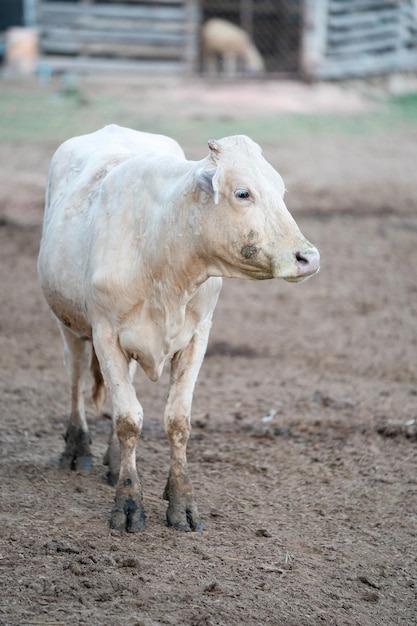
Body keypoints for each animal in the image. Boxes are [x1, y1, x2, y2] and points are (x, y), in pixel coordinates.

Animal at [38, 127, 318, 532]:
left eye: (280, 189)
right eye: (243, 193)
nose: (308, 257)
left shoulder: (197, 336)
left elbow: (176, 420)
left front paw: (180, 500)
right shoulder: (105, 335)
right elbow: (128, 420)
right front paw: (128, 503)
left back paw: (112, 460)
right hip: (69, 326)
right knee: (76, 380)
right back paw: (77, 450)